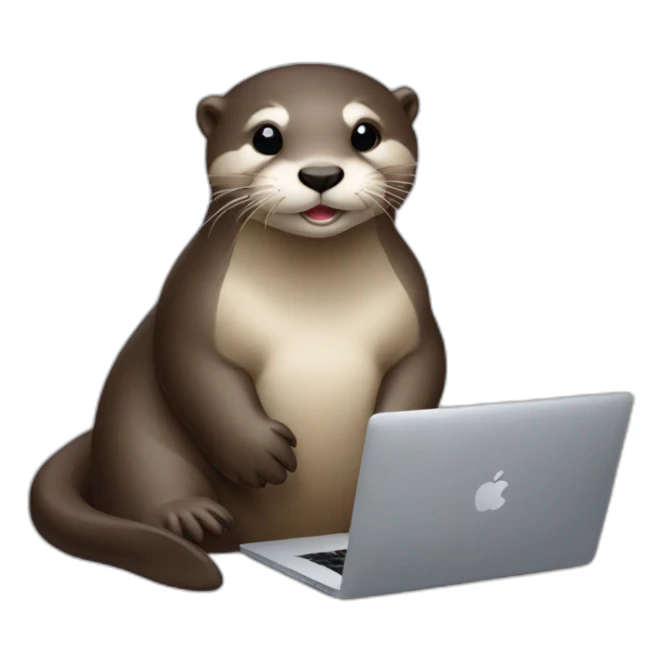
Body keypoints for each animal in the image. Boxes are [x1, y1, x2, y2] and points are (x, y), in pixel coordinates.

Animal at [30, 64, 446, 590]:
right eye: (266, 136)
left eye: (365, 133)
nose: (321, 173)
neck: (313, 301)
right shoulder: (191, 304)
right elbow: (194, 369)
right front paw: (258, 454)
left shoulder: (417, 316)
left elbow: (424, 367)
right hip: (134, 426)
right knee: (146, 473)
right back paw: (190, 517)